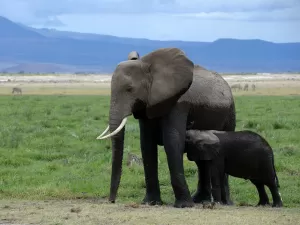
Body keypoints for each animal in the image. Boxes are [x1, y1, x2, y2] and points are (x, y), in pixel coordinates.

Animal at [97, 47, 236, 207]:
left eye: (130, 89)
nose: (112, 200)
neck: (148, 66)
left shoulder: (179, 104)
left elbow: (172, 142)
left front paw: (183, 205)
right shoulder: (147, 105)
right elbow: (147, 145)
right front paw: (151, 202)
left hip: (230, 113)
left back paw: (224, 203)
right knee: (201, 159)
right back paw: (201, 200)